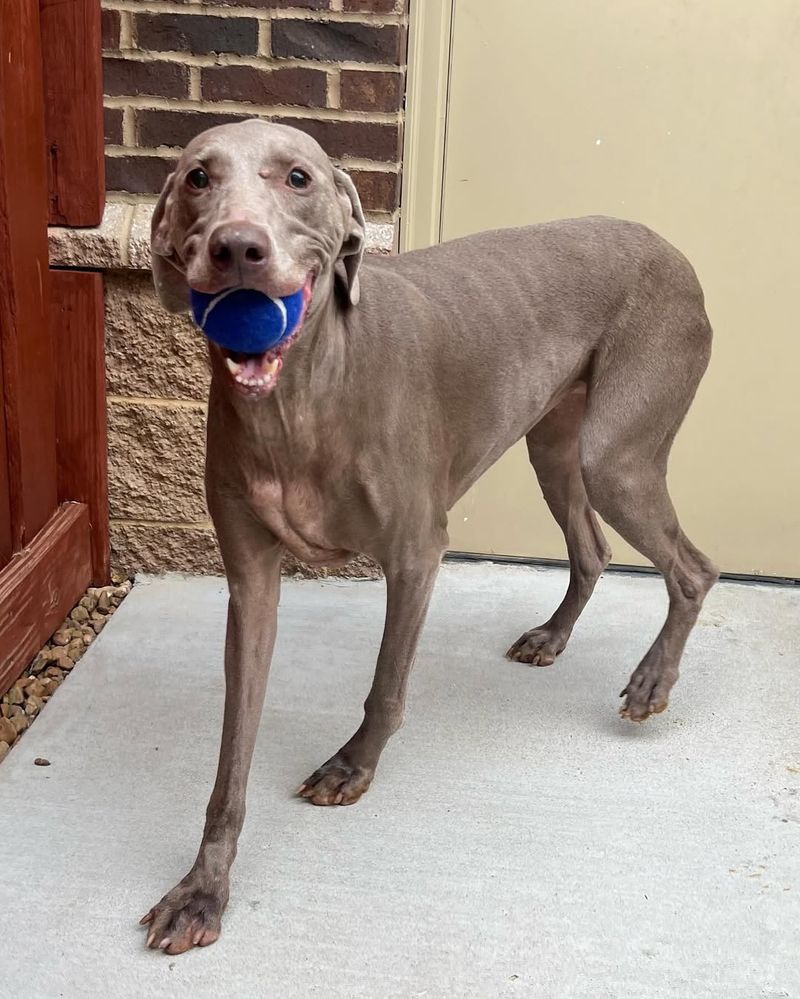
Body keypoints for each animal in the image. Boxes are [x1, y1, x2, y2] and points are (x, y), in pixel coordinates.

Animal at [141, 121, 716, 956]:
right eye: (197, 178)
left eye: (298, 177)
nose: (237, 249)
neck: (300, 402)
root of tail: (674, 250)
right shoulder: (251, 581)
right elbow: (231, 754)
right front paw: (203, 888)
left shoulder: (415, 552)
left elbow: (386, 685)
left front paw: (352, 766)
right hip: (556, 444)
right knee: (594, 550)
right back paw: (552, 636)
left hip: (617, 453)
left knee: (692, 569)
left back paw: (650, 683)